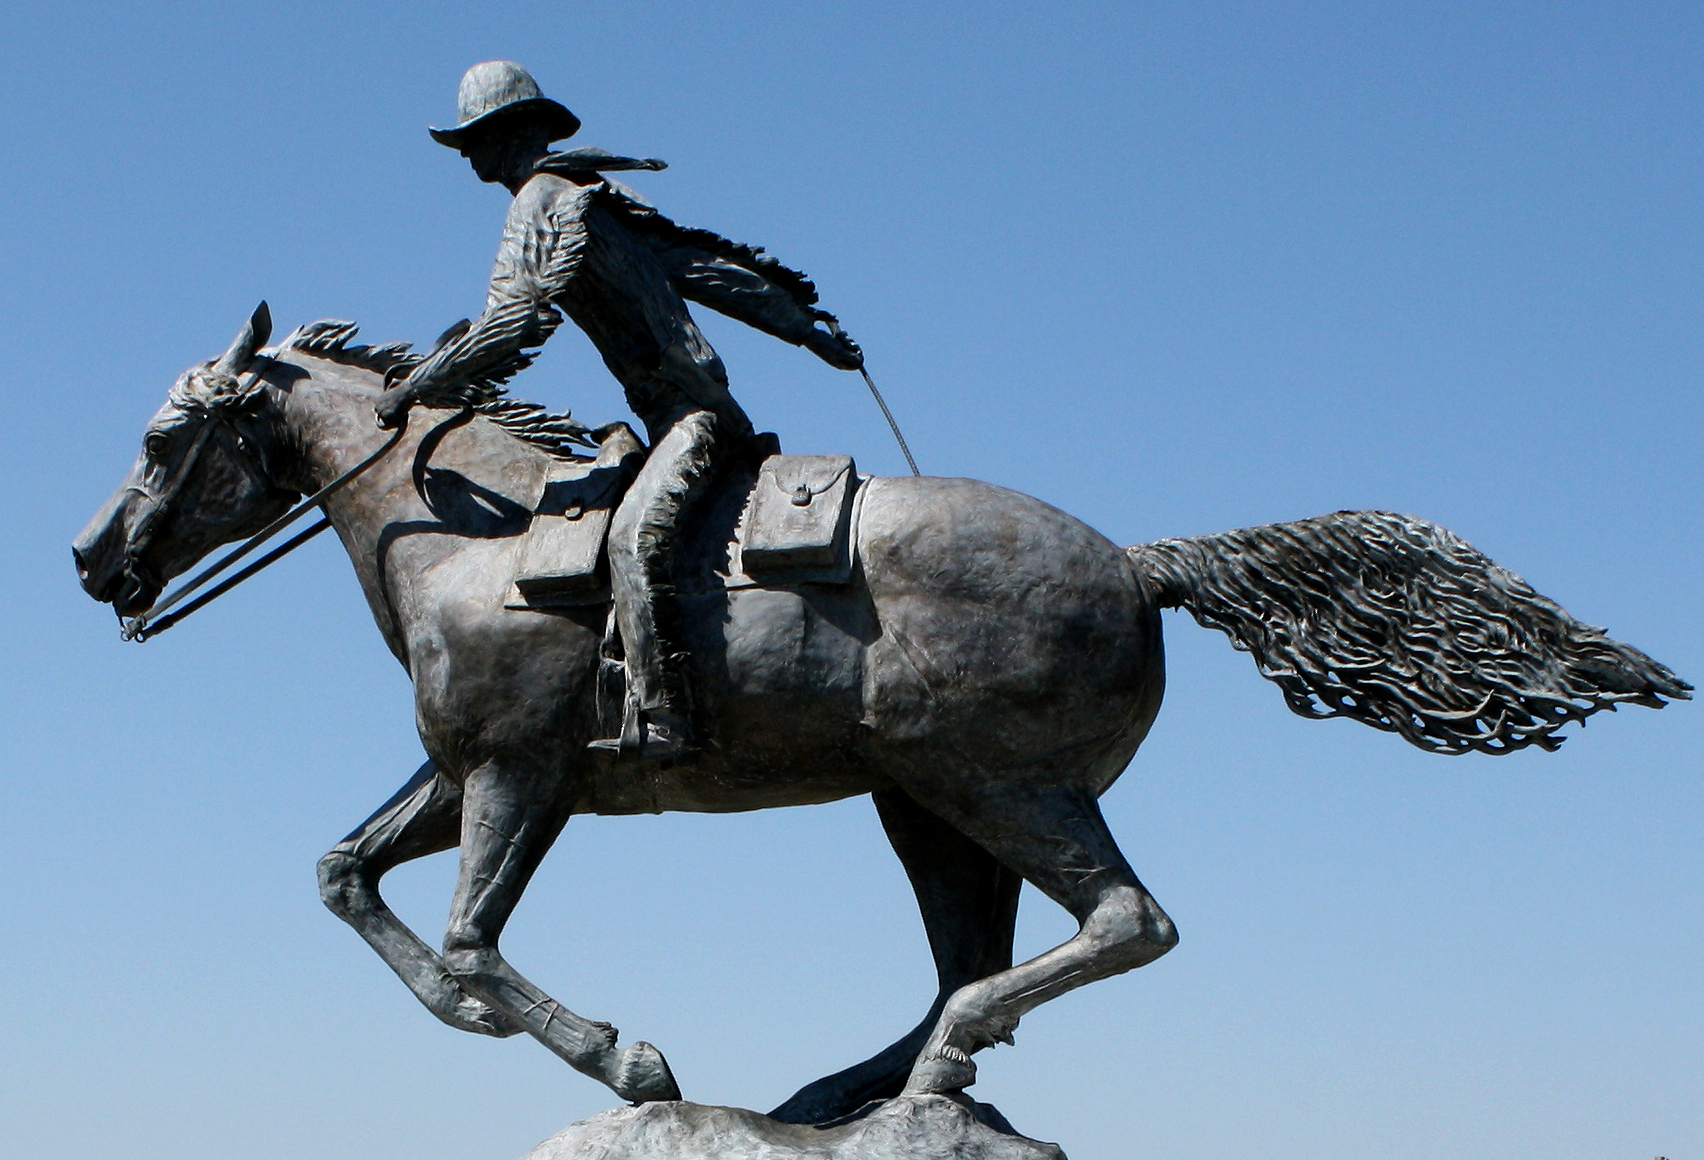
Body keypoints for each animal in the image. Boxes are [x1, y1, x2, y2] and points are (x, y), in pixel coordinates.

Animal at [73, 304, 1683, 1124]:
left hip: (990, 785)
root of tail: (1140, 560)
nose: (95, 560)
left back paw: (929, 1066)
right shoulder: (465, 773)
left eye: (160, 436)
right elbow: (346, 874)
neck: (475, 528)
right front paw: (492, 1024)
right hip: (926, 808)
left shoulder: (520, 776)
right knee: (983, 955)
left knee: (1120, 925)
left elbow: (471, 937)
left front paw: (627, 1060)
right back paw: (866, 1088)